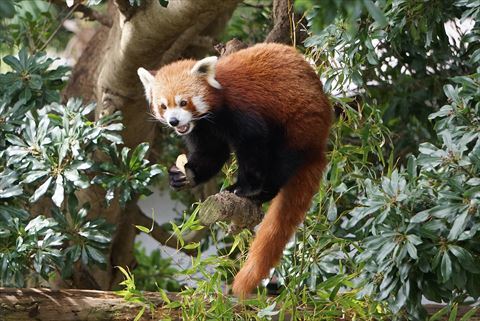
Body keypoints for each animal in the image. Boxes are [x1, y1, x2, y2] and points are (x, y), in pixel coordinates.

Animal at [139, 43, 332, 298]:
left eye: (183, 102)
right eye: (163, 105)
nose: (173, 121)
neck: (215, 109)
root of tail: (320, 141)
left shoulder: (243, 111)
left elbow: (252, 145)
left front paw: (245, 187)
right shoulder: (202, 128)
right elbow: (211, 153)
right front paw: (184, 175)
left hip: (299, 122)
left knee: (283, 160)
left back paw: (262, 192)